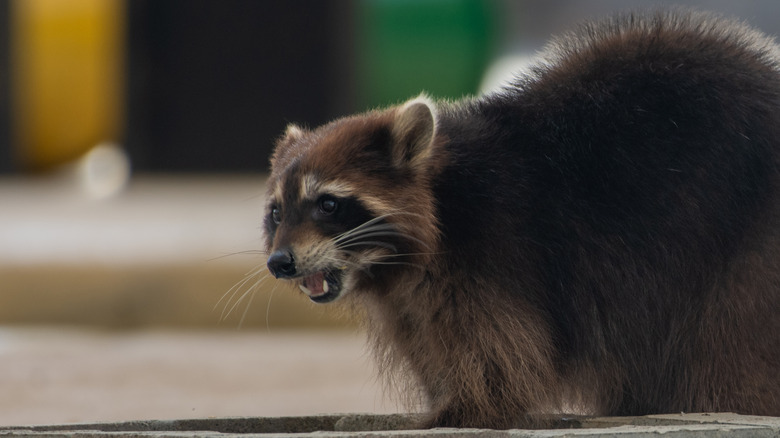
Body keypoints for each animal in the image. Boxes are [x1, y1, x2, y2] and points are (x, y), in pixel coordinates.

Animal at [263, 10, 780, 429]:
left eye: (328, 205)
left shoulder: (497, 254)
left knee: (728, 350)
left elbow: (497, 358)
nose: (279, 263)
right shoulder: (416, 296)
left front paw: (461, 411)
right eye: (276, 212)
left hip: (748, 249)